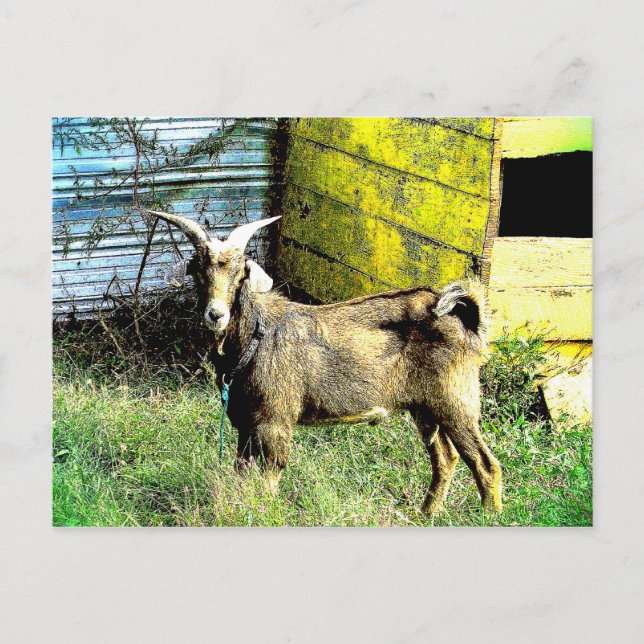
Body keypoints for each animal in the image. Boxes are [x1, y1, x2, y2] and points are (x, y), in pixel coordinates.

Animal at [150, 210, 503, 514]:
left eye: (240, 274)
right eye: (198, 271)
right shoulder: (244, 423)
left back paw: (489, 516)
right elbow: (242, 472)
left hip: (456, 400)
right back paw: (425, 514)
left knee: (484, 464)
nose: (216, 314)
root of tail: (465, 318)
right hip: (426, 407)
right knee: (446, 458)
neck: (254, 338)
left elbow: (269, 477)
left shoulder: (274, 420)